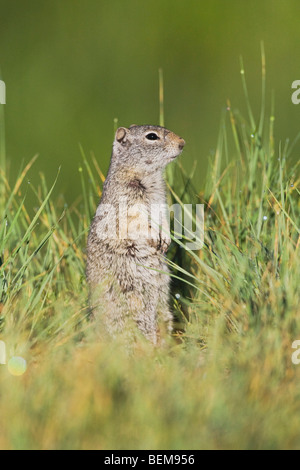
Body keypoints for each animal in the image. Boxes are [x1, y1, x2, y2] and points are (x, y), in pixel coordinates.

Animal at [86, 125, 185, 346]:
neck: (150, 178)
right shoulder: (127, 200)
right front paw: (154, 236)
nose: (182, 143)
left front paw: (165, 239)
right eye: (152, 136)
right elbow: (137, 221)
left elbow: (162, 218)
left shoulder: (160, 200)